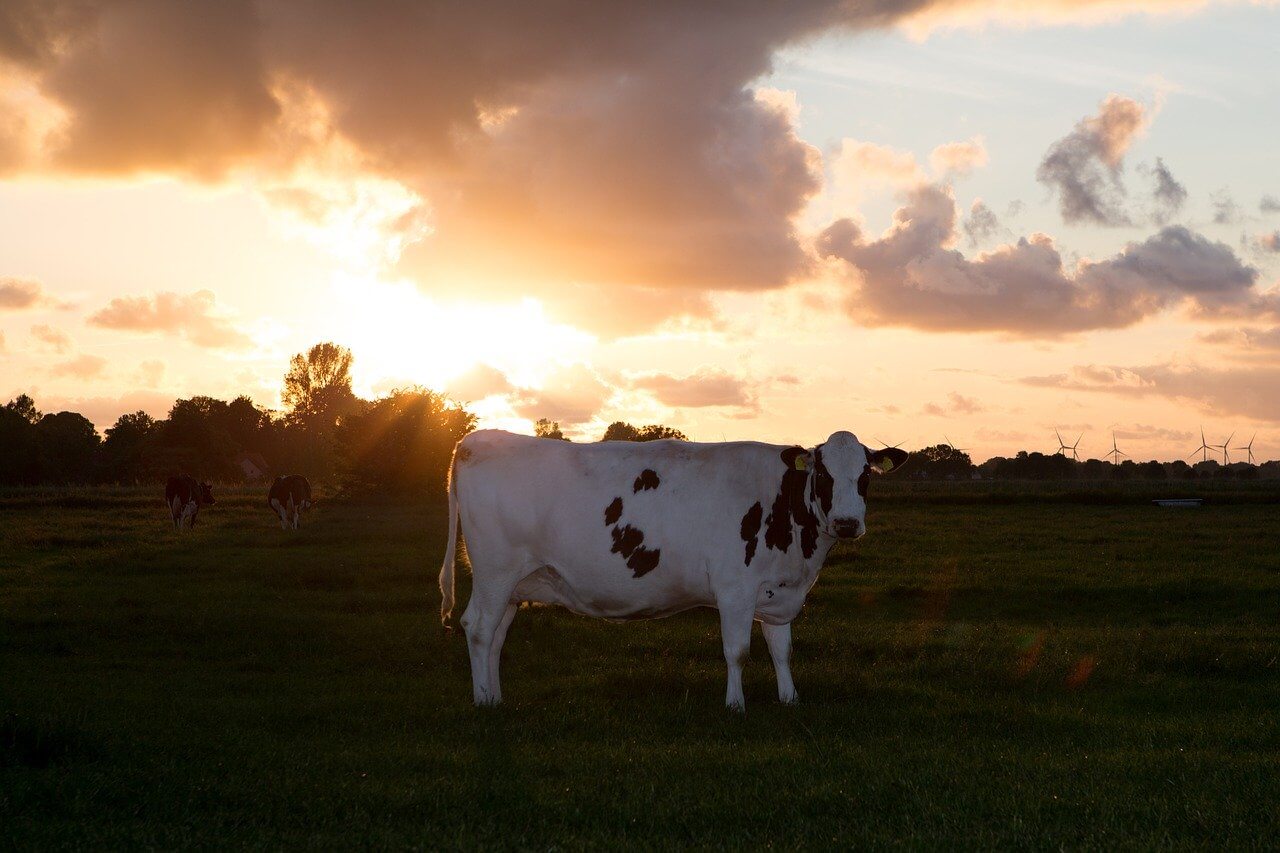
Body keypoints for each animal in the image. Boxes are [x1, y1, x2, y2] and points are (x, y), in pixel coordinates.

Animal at [440, 427, 911, 706]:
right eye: (824, 475)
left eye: (865, 475)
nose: (847, 523)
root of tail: (476, 440)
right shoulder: (734, 588)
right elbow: (737, 651)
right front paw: (735, 705)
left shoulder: (777, 591)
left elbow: (782, 649)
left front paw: (789, 698)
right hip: (495, 572)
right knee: (478, 628)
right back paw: (482, 701)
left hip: (516, 582)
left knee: (496, 635)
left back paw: (495, 696)